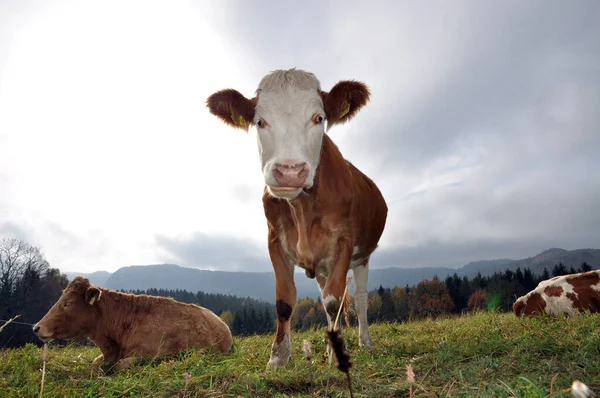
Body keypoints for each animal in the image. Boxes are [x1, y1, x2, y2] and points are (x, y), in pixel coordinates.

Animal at [206, 68, 386, 366]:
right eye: (259, 121)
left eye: (319, 118)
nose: (289, 171)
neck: (302, 207)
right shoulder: (275, 241)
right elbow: (286, 302)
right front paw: (278, 357)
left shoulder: (344, 241)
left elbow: (334, 301)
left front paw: (336, 357)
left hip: (363, 256)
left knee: (359, 299)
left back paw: (364, 342)